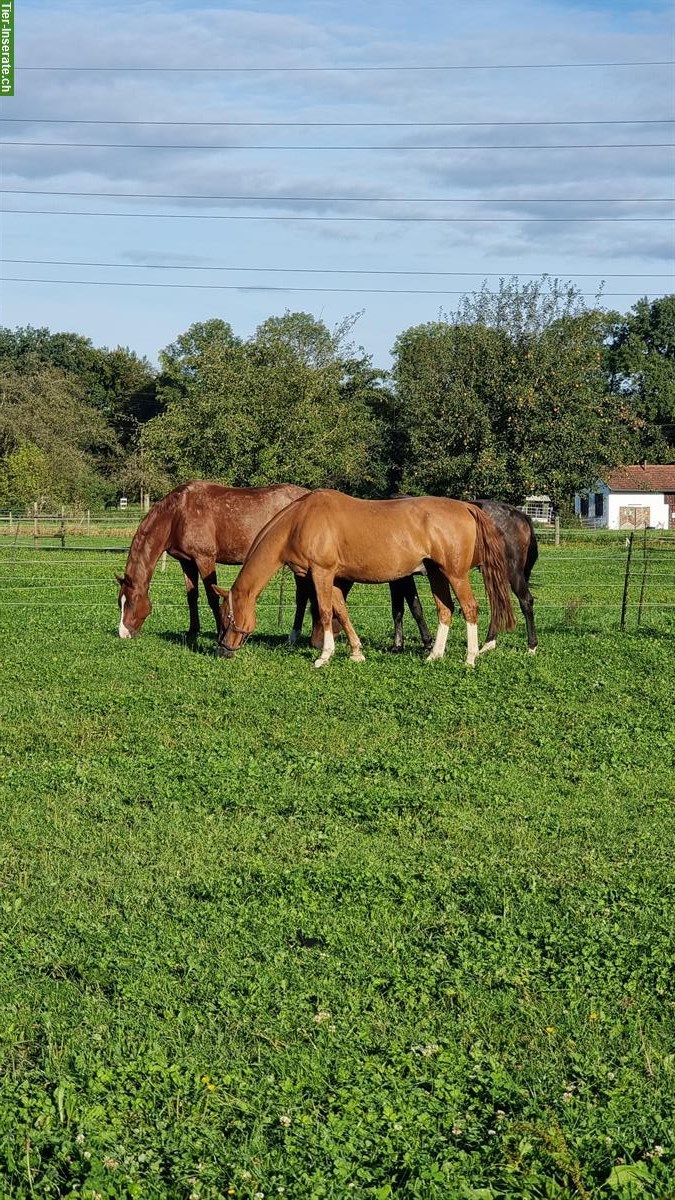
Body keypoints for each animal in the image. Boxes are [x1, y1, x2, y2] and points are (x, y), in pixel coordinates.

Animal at [115, 482, 309, 643]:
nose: (123, 634)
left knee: (302, 596)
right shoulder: (187, 562)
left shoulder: (205, 559)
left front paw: (219, 632)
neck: (177, 515)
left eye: (131, 602)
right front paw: (193, 631)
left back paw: (293, 636)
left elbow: (212, 597)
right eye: (120, 603)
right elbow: (191, 596)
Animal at [212, 492, 511, 672]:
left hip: (455, 574)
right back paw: (434, 655)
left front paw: (324, 656)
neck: (299, 521)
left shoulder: (321, 573)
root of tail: (466, 506)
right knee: (445, 610)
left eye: (227, 616)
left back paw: (470, 657)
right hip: (437, 573)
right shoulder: (333, 578)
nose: (224, 650)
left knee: (469, 608)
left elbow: (325, 612)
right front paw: (356, 652)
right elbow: (342, 613)